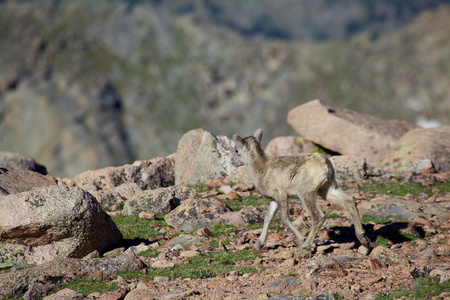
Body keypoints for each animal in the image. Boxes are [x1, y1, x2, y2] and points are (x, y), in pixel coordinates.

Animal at [232, 129, 370, 251]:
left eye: (236, 150)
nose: (233, 164)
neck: (263, 170)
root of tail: (324, 163)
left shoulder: (281, 195)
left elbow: (284, 217)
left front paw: (301, 240)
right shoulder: (274, 199)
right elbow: (268, 217)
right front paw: (257, 245)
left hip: (305, 194)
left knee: (318, 217)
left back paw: (305, 245)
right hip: (326, 190)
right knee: (350, 202)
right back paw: (364, 240)